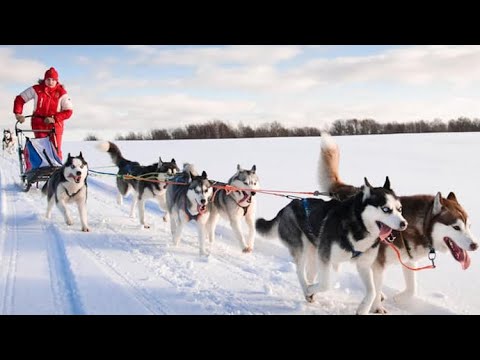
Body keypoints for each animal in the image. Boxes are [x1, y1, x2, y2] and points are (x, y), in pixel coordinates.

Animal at [256, 177, 406, 316]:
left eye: (399, 209)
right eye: (386, 209)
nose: (404, 223)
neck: (358, 225)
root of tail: (287, 206)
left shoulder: (363, 264)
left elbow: (372, 291)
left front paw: (363, 309)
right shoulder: (325, 257)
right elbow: (326, 283)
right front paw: (310, 290)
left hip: (315, 252)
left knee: (311, 273)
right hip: (302, 248)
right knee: (300, 271)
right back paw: (307, 289)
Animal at [316, 132, 478, 312]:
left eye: (469, 226)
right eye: (456, 227)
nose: (475, 245)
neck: (416, 226)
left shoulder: (409, 260)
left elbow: (412, 289)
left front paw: (399, 298)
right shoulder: (377, 264)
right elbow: (376, 286)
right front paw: (377, 307)